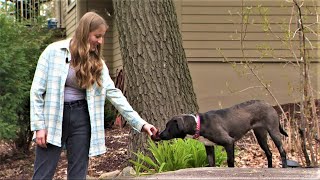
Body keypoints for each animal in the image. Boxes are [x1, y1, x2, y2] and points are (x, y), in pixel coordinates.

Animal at [159, 100, 288, 167]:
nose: (159, 135)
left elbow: (230, 161)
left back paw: (285, 167)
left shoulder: (229, 142)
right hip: (260, 135)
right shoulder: (209, 147)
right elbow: (211, 163)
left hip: (273, 131)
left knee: (282, 151)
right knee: (269, 153)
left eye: (168, 127)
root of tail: (269, 104)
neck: (198, 124)